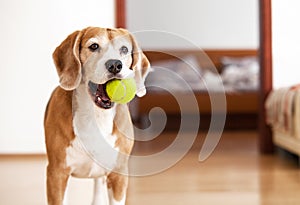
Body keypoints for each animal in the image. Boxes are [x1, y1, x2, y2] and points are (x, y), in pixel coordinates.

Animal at [44, 26, 150, 204]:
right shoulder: (56, 173)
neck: (96, 115)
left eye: (124, 49)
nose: (115, 65)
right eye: (94, 46)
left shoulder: (119, 175)